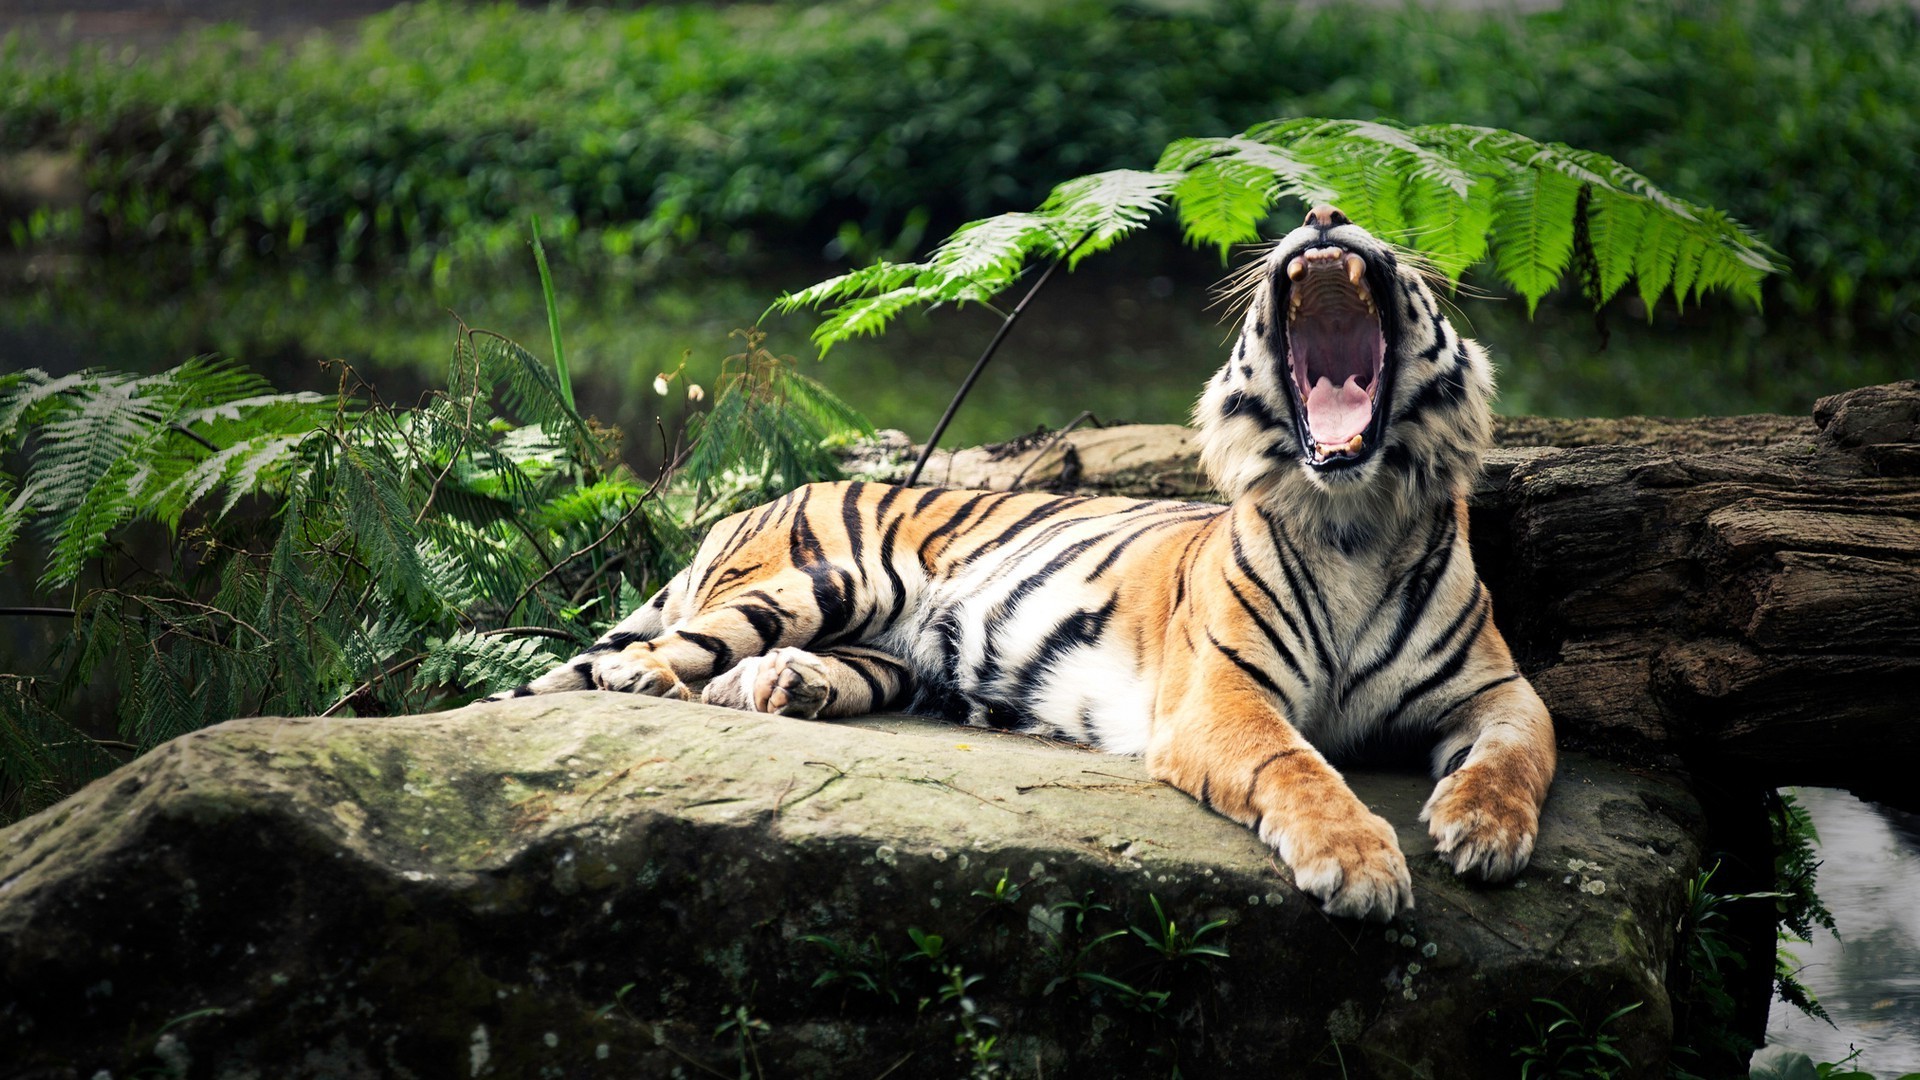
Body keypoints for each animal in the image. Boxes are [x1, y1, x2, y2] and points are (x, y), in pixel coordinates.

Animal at [487, 205, 1551, 922]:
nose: (1323, 214)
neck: (1352, 516)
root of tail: (753, 501)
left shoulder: (1495, 687)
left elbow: (1522, 751)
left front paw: (1482, 829)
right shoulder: (1222, 694)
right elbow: (1295, 764)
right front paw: (1362, 864)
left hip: (886, 652)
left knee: (753, 675)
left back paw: (788, 688)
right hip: (835, 578)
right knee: (663, 651)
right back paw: (650, 676)